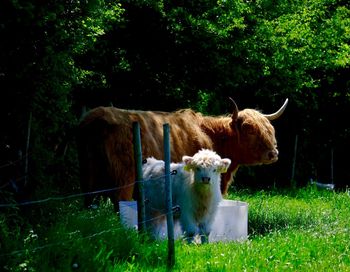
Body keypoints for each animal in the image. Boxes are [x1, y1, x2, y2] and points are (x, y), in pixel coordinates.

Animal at [78, 98, 288, 210]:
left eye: (270, 129)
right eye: (249, 130)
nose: (273, 153)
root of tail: (96, 118)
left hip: (88, 174)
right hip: (124, 177)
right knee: (120, 201)